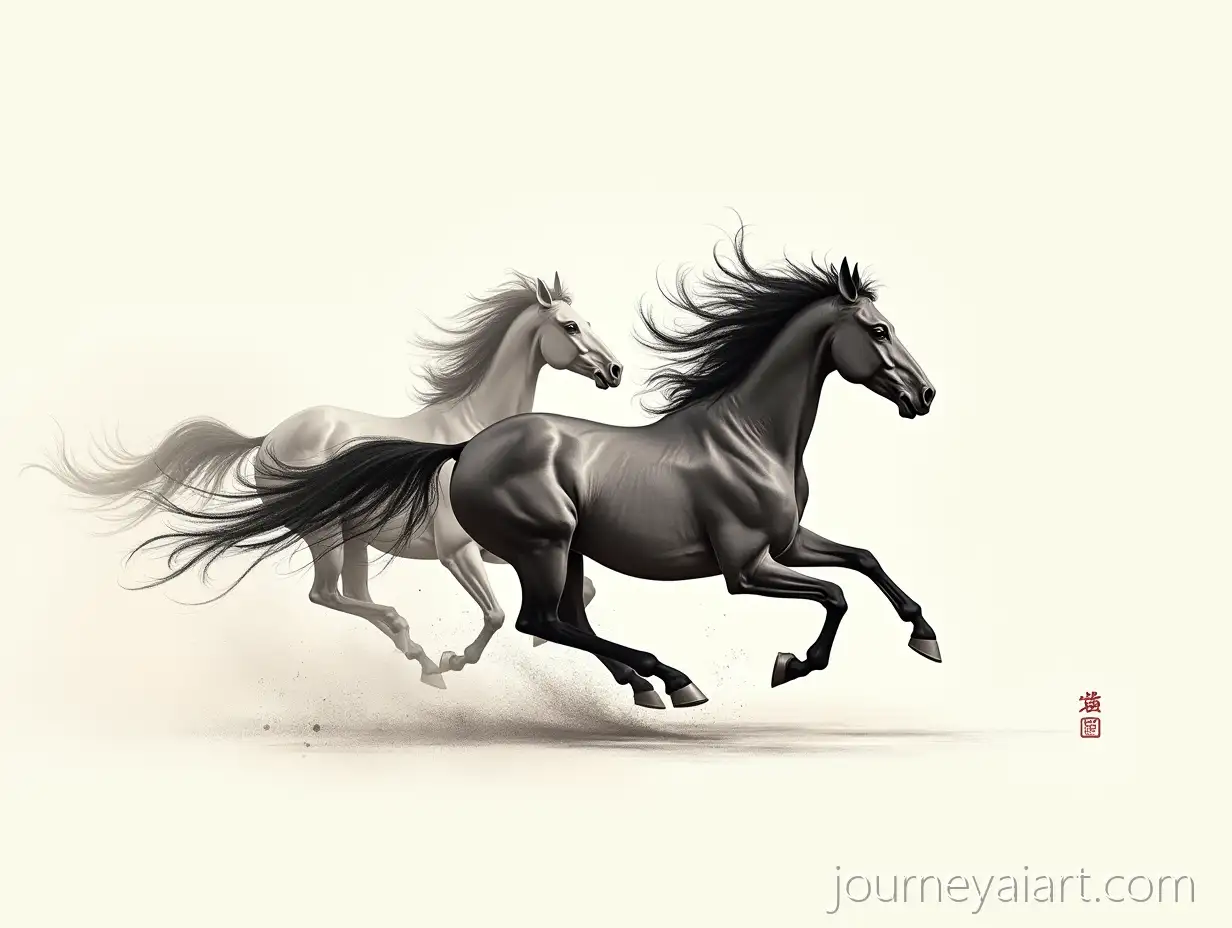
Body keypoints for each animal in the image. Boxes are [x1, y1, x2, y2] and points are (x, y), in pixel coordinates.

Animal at [32, 272, 625, 687]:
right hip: (327, 533)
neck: (469, 435)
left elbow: (585, 587)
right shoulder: (457, 551)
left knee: (350, 593)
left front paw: (552, 641)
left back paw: (418, 657)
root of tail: (269, 437)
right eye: (572, 326)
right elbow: (498, 615)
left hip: (354, 536)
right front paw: (458, 658)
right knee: (328, 594)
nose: (615, 371)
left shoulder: (498, 548)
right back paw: (420, 650)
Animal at [99, 228, 940, 709]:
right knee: (531, 617)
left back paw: (636, 679)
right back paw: (663, 678)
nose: (925, 394)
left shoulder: (789, 542)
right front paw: (792, 664)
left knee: (549, 616)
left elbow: (864, 562)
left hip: (546, 547)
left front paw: (924, 635)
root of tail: (467, 450)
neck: (746, 436)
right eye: (878, 330)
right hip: (529, 543)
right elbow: (835, 595)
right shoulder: (745, 565)